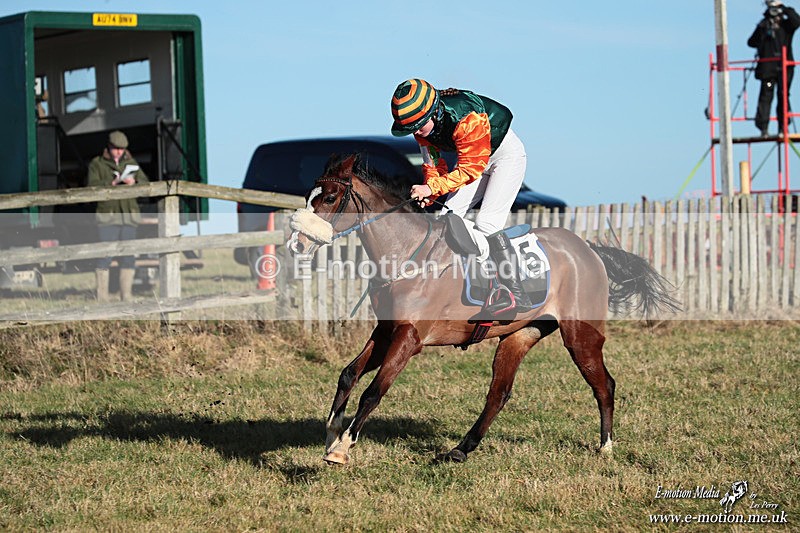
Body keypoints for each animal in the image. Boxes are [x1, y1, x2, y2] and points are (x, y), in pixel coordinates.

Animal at [287, 153, 679, 465]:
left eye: (331, 197)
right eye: (308, 196)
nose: (296, 244)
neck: (407, 255)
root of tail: (589, 249)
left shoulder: (409, 338)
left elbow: (373, 390)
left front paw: (341, 448)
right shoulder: (386, 330)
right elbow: (349, 373)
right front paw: (332, 431)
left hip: (581, 335)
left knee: (604, 384)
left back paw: (606, 447)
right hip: (520, 334)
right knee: (499, 393)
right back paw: (461, 449)